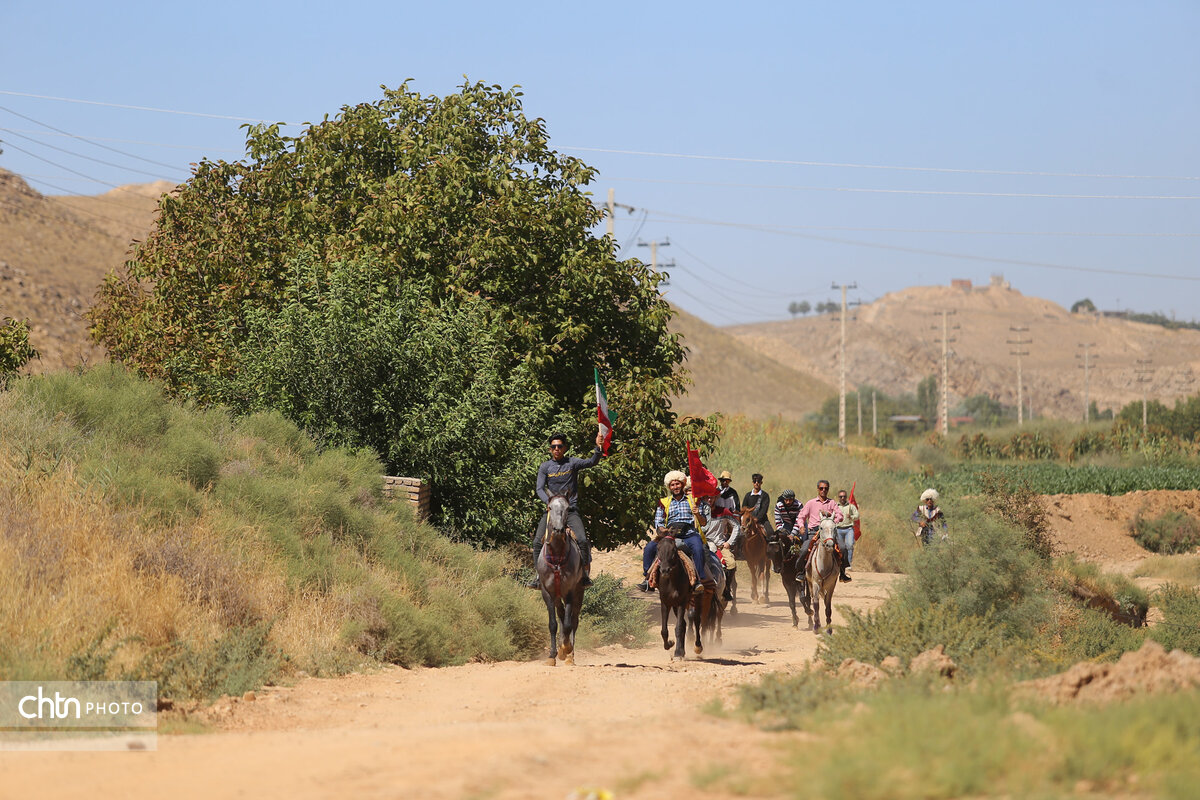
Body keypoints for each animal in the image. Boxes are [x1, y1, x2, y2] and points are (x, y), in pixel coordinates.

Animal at [540, 496, 585, 666]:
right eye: (550, 508)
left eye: (567, 508)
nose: (558, 530)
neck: (557, 557)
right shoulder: (546, 592)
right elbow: (553, 624)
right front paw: (552, 655)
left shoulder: (570, 592)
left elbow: (567, 624)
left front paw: (566, 648)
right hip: (557, 596)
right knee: (560, 615)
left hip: (579, 592)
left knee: (573, 621)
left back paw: (570, 656)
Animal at [657, 534, 700, 662]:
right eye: (658, 548)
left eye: (674, 550)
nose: (664, 570)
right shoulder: (665, 603)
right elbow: (664, 630)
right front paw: (670, 644)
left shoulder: (682, 602)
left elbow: (679, 628)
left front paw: (676, 653)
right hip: (675, 606)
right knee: (686, 624)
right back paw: (681, 651)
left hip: (696, 599)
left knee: (696, 620)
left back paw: (697, 646)